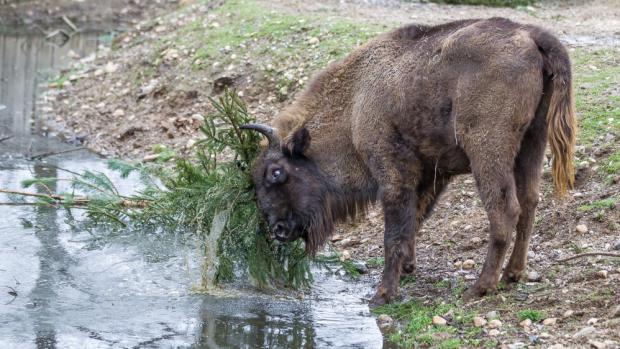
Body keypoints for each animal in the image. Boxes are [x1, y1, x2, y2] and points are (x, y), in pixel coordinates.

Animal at [241, 17, 576, 304]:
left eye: (276, 172)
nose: (278, 229)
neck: (355, 104)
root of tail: (531, 35)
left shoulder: (392, 176)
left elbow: (394, 233)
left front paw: (383, 294)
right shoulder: (430, 174)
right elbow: (415, 218)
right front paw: (406, 269)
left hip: (488, 150)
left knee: (505, 209)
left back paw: (480, 287)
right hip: (532, 143)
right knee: (530, 201)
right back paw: (512, 274)